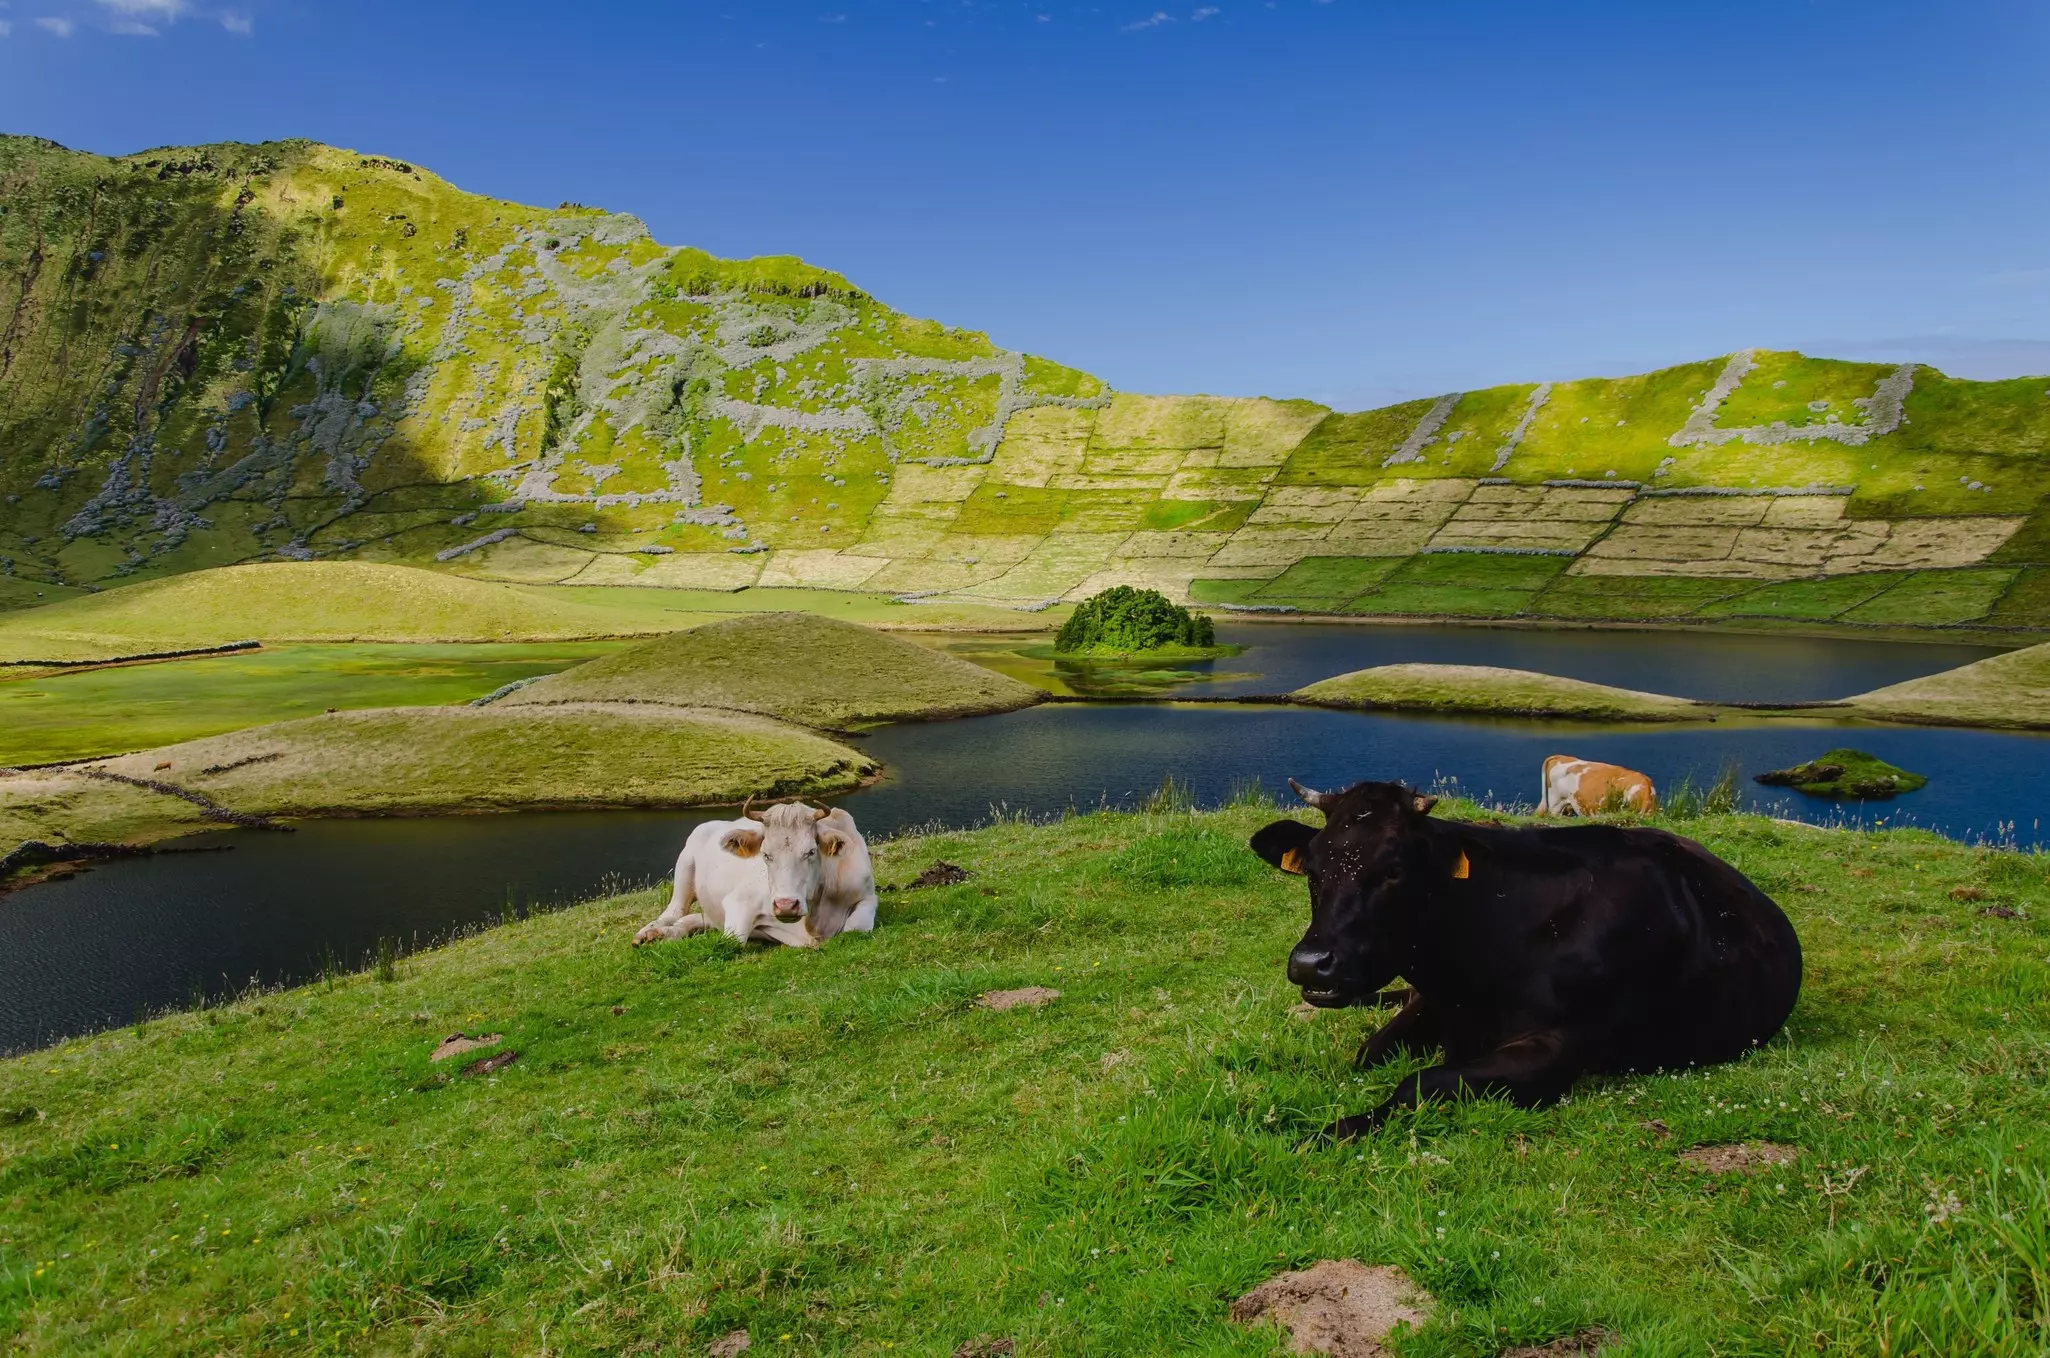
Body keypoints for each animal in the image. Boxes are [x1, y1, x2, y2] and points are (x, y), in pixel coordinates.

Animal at [632, 801, 879, 948]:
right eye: (765, 854)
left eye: (811, 851)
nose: (786, 905)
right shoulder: (739, 900)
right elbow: (734, 939)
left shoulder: (869, 894)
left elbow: (856, 928)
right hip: (684, 866)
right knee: (675, 911)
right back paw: (648, 932)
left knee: (695, 918)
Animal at [1250, 777, 1802, 1140]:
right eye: (1312, 869)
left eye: (1393, 870)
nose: (1311, 963)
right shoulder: (1435, 999)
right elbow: (1369, 1052)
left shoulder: (1559, 1047)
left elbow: (1418, 1083)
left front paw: (1324, 1131)